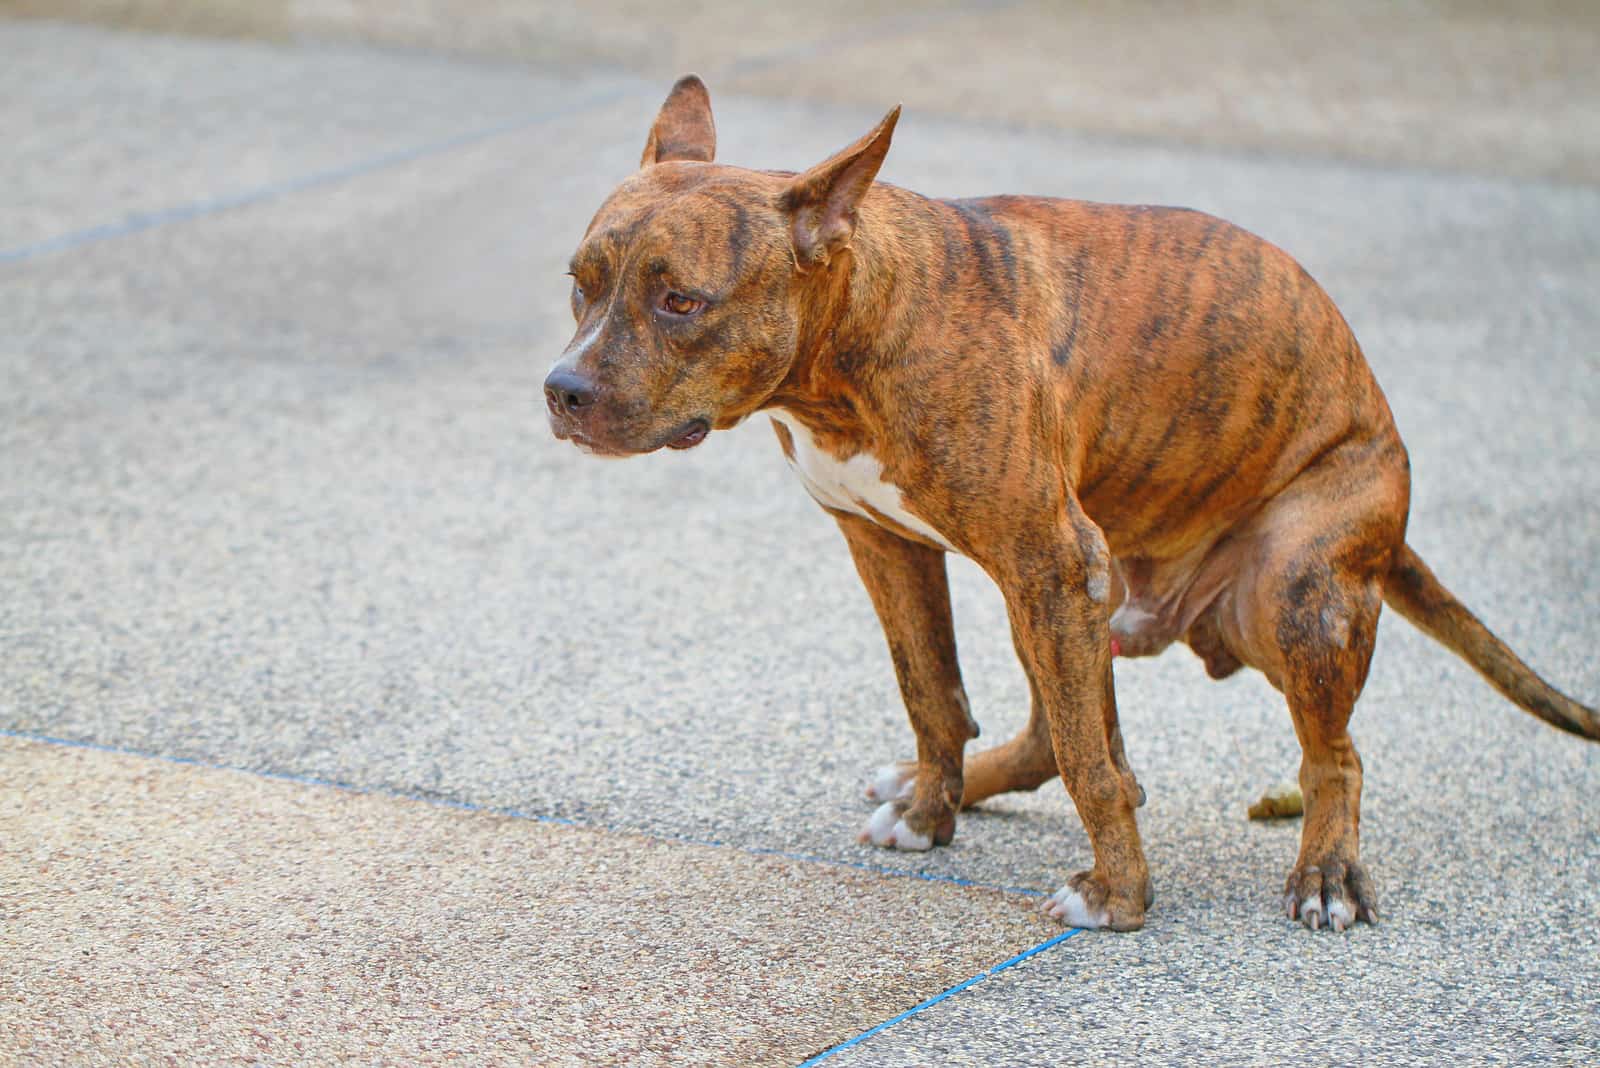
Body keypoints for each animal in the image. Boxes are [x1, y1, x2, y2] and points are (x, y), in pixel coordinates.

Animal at [544, 75, 1593, 927]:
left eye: (680, 301)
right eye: (580, 284)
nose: (562, 391)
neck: (857, 328)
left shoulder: (1048, 561)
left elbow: (1096, 768)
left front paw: (1120, 896)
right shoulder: (890, 547)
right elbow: (935, 694)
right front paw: (930, 811)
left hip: (1285, 592)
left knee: (1328, 756)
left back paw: (1326, 874)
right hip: (1068, 603)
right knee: (1054, 728)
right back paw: (951, 786)